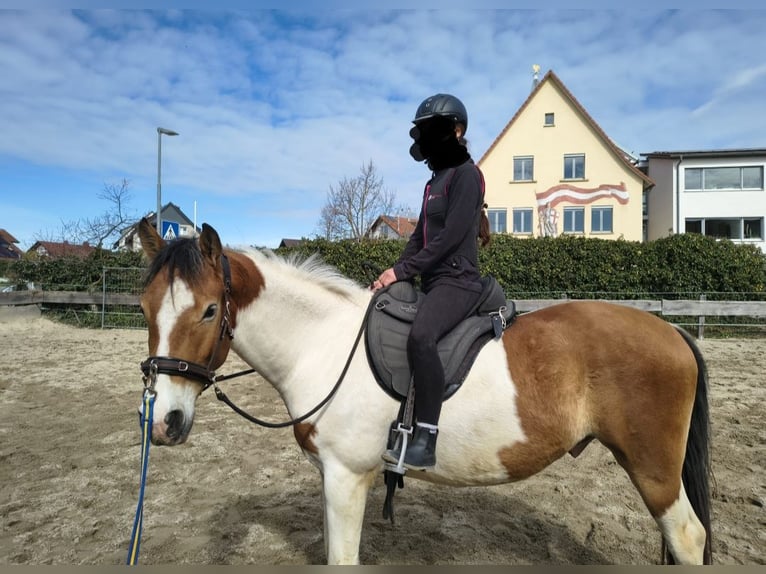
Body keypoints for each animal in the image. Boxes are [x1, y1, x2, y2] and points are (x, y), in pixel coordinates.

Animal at [135, 218, 712, 565]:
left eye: (210, 310)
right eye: (144, 307)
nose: (165, 423)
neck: (322, 343)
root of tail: (672, 331)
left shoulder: (346, 479)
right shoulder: (333, 479)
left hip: (653, 468)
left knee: (687, 536)